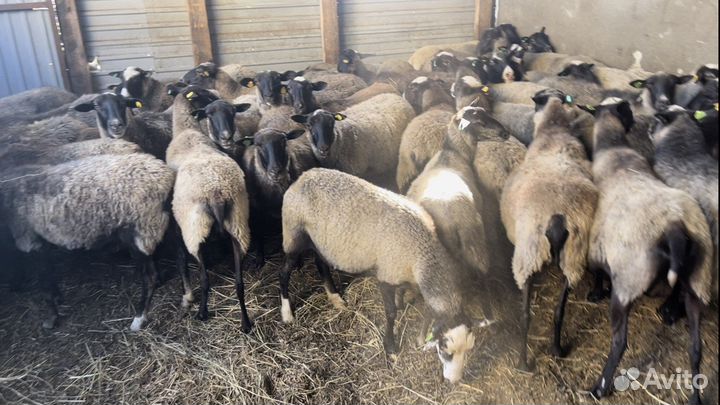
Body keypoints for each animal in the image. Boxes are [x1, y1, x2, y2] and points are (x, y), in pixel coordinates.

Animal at [0, 153, 175, 331]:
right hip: (151, 228)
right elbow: (49, 275)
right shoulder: (40, 241)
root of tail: (166, 174)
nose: (13, 288)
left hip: (141, 230)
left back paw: (138, 319)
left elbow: (44, 283)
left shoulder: (28, 239)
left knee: (149, 277)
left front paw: (51, 318)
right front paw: (57, 299)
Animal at [166, 86, 253, 332]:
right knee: (239, 282)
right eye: (207, 96)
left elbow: (179, 258)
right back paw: (245, 322)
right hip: (238, 225)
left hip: (194, 231)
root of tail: (216, 193)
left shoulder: (176, 224)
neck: (186, 130)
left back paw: (203, 312)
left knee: (204, 279)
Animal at [280, 167, 476, 383]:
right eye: (445, 351)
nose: (454, 381)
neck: (422, 252)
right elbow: (391, 313)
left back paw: (336, 299)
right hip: (293, 233)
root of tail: (303, 177)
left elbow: (404, 295)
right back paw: (287, 313)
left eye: (468, 350)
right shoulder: (386, 275)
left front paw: (402, 302)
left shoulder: (400, 272)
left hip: (319, 241)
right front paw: (390, 347)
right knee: (283, 273)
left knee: (321, 264)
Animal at [500, 90, 598, 370]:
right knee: (559, 311)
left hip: (527, 255)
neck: (554, 131)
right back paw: (557, 349)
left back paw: (523, 362)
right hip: (573, 257)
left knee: (525, 314)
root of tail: (558, 216)